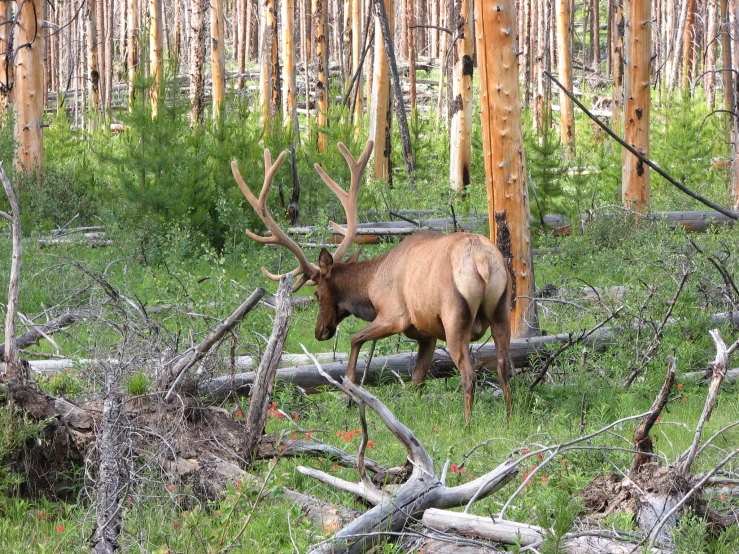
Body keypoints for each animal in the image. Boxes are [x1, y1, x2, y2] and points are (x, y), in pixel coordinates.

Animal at [233, 139, 516, 418]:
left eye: (316, 294)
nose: (319, 331)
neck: (369, 289)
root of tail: (482, 262)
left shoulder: (394, 315)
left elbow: (355, 339)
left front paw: (349, 395)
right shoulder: (426, 333)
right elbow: (417, 379)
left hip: (455, 317)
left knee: (469, 374)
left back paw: (468, 423)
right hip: (502, 309)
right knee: (504, 366)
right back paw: (508, 418)